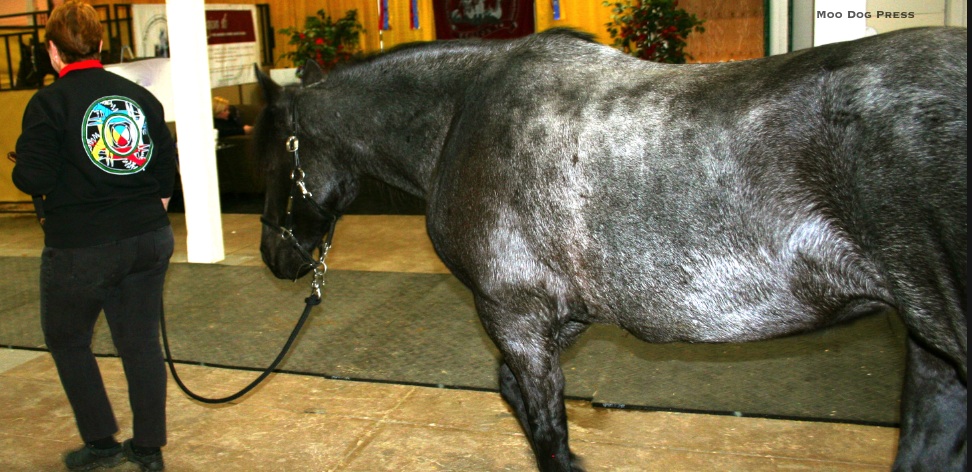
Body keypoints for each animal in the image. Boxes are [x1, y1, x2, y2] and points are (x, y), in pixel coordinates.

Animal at [256, 27, 964, 470]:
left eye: (273, 160)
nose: (274, 258)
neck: (462, 115)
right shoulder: (564, 316)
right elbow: (517, 396)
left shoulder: (516, 316)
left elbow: (546, 429)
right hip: (934, 352)